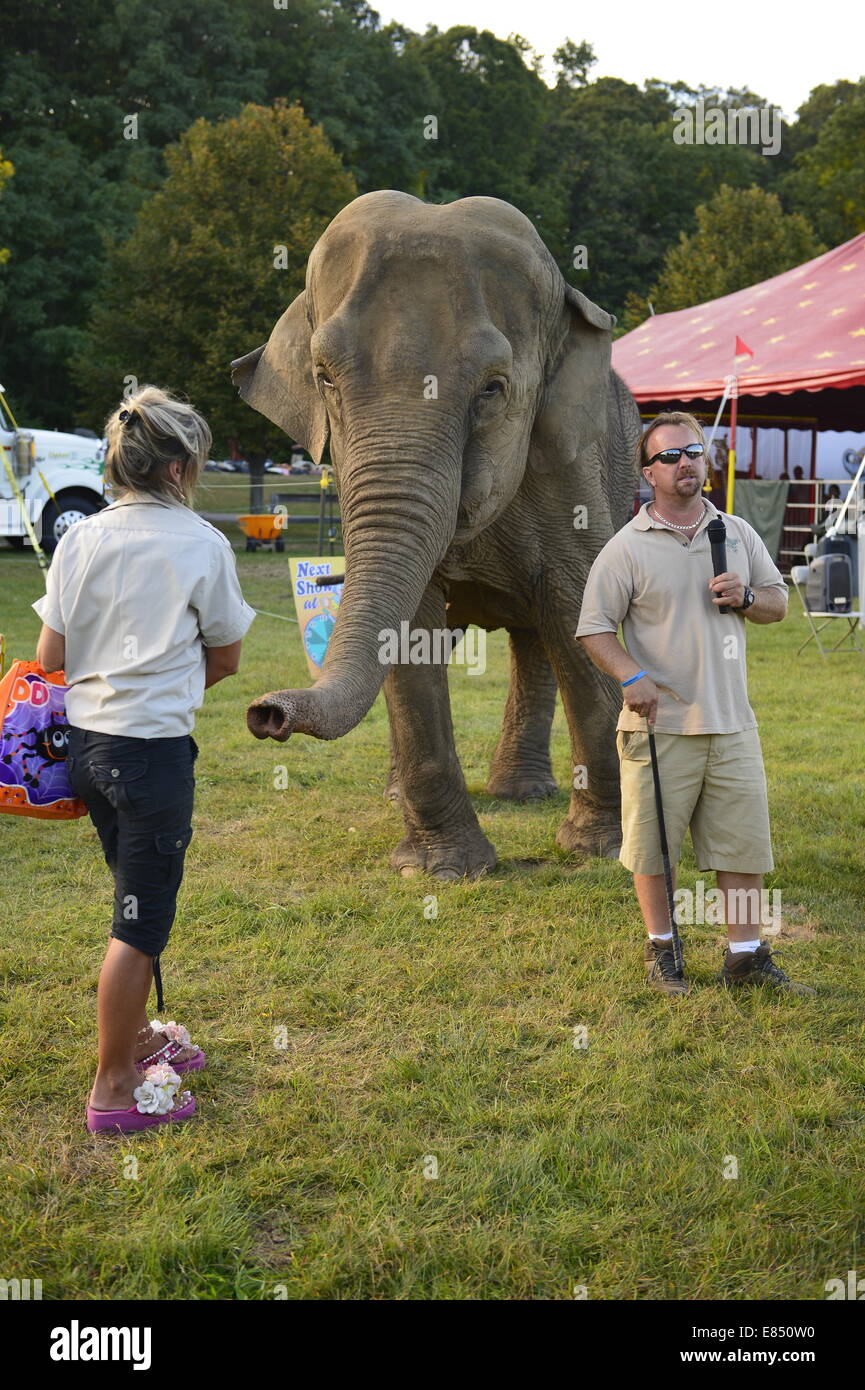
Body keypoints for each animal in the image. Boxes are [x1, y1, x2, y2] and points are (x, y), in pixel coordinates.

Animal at [232, 189, 645, 878]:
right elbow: (412, 637)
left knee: (536, 635)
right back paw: (408, 793)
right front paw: (441, 871)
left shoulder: (569, 467)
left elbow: (574, 605)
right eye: (324, 377)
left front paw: (602, 849)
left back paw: (522, 794)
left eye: (493, 389)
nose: (266, 713)